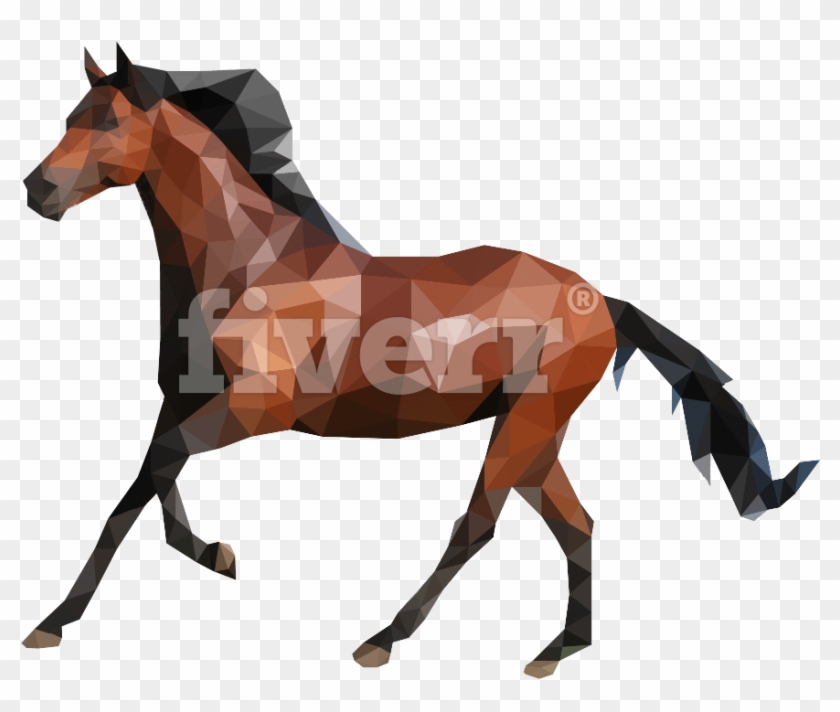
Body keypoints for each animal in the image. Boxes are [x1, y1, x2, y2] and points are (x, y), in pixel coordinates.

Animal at [22, 46, 817, 679]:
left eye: (107, 121)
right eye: (71, 114)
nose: (36, 190)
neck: (248, 266)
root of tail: (602, 302)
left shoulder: (255, 409)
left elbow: (157, 476)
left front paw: (212, 557)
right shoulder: (182, 402)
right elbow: (137, 491)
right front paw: (59, 620)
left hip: (525, 425)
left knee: (478, 526)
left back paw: (384, 638)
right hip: (536, 434)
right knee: (578, 525)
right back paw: (558, 651)